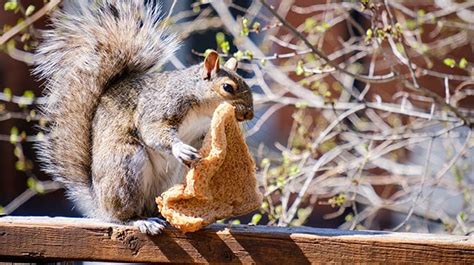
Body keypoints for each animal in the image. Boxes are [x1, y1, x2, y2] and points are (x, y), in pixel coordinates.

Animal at [33, 0, 254, 233]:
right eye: (227, 87)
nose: (250, 113)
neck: (202, 111)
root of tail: (99, 204)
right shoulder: (161, 106)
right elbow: (153, 130)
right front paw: (180, 148)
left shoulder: (202, 130)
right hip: (126, 166)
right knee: (122, 214)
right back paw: (140, 221)